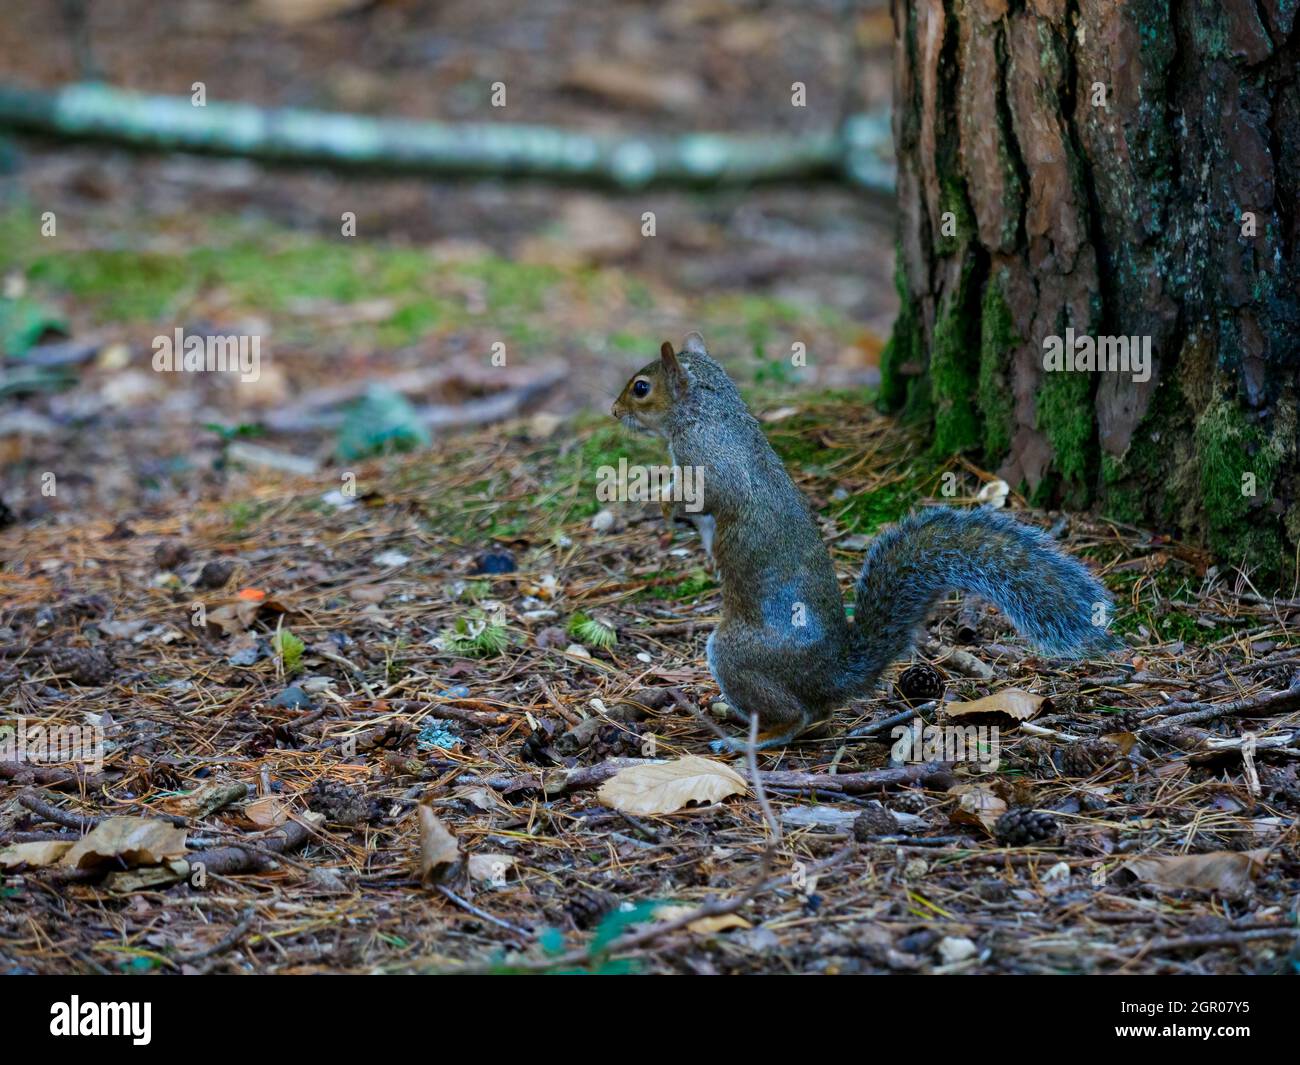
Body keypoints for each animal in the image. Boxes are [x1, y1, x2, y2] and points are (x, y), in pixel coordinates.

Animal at [612, 332, 1123, 752]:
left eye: (641, 387)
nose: (614, 413)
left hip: (737, 653)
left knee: (797, 715)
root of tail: (833, 673)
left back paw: (749, 739)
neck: (706, 416)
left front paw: (661, 501)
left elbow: (699, 497)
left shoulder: (709, 467)